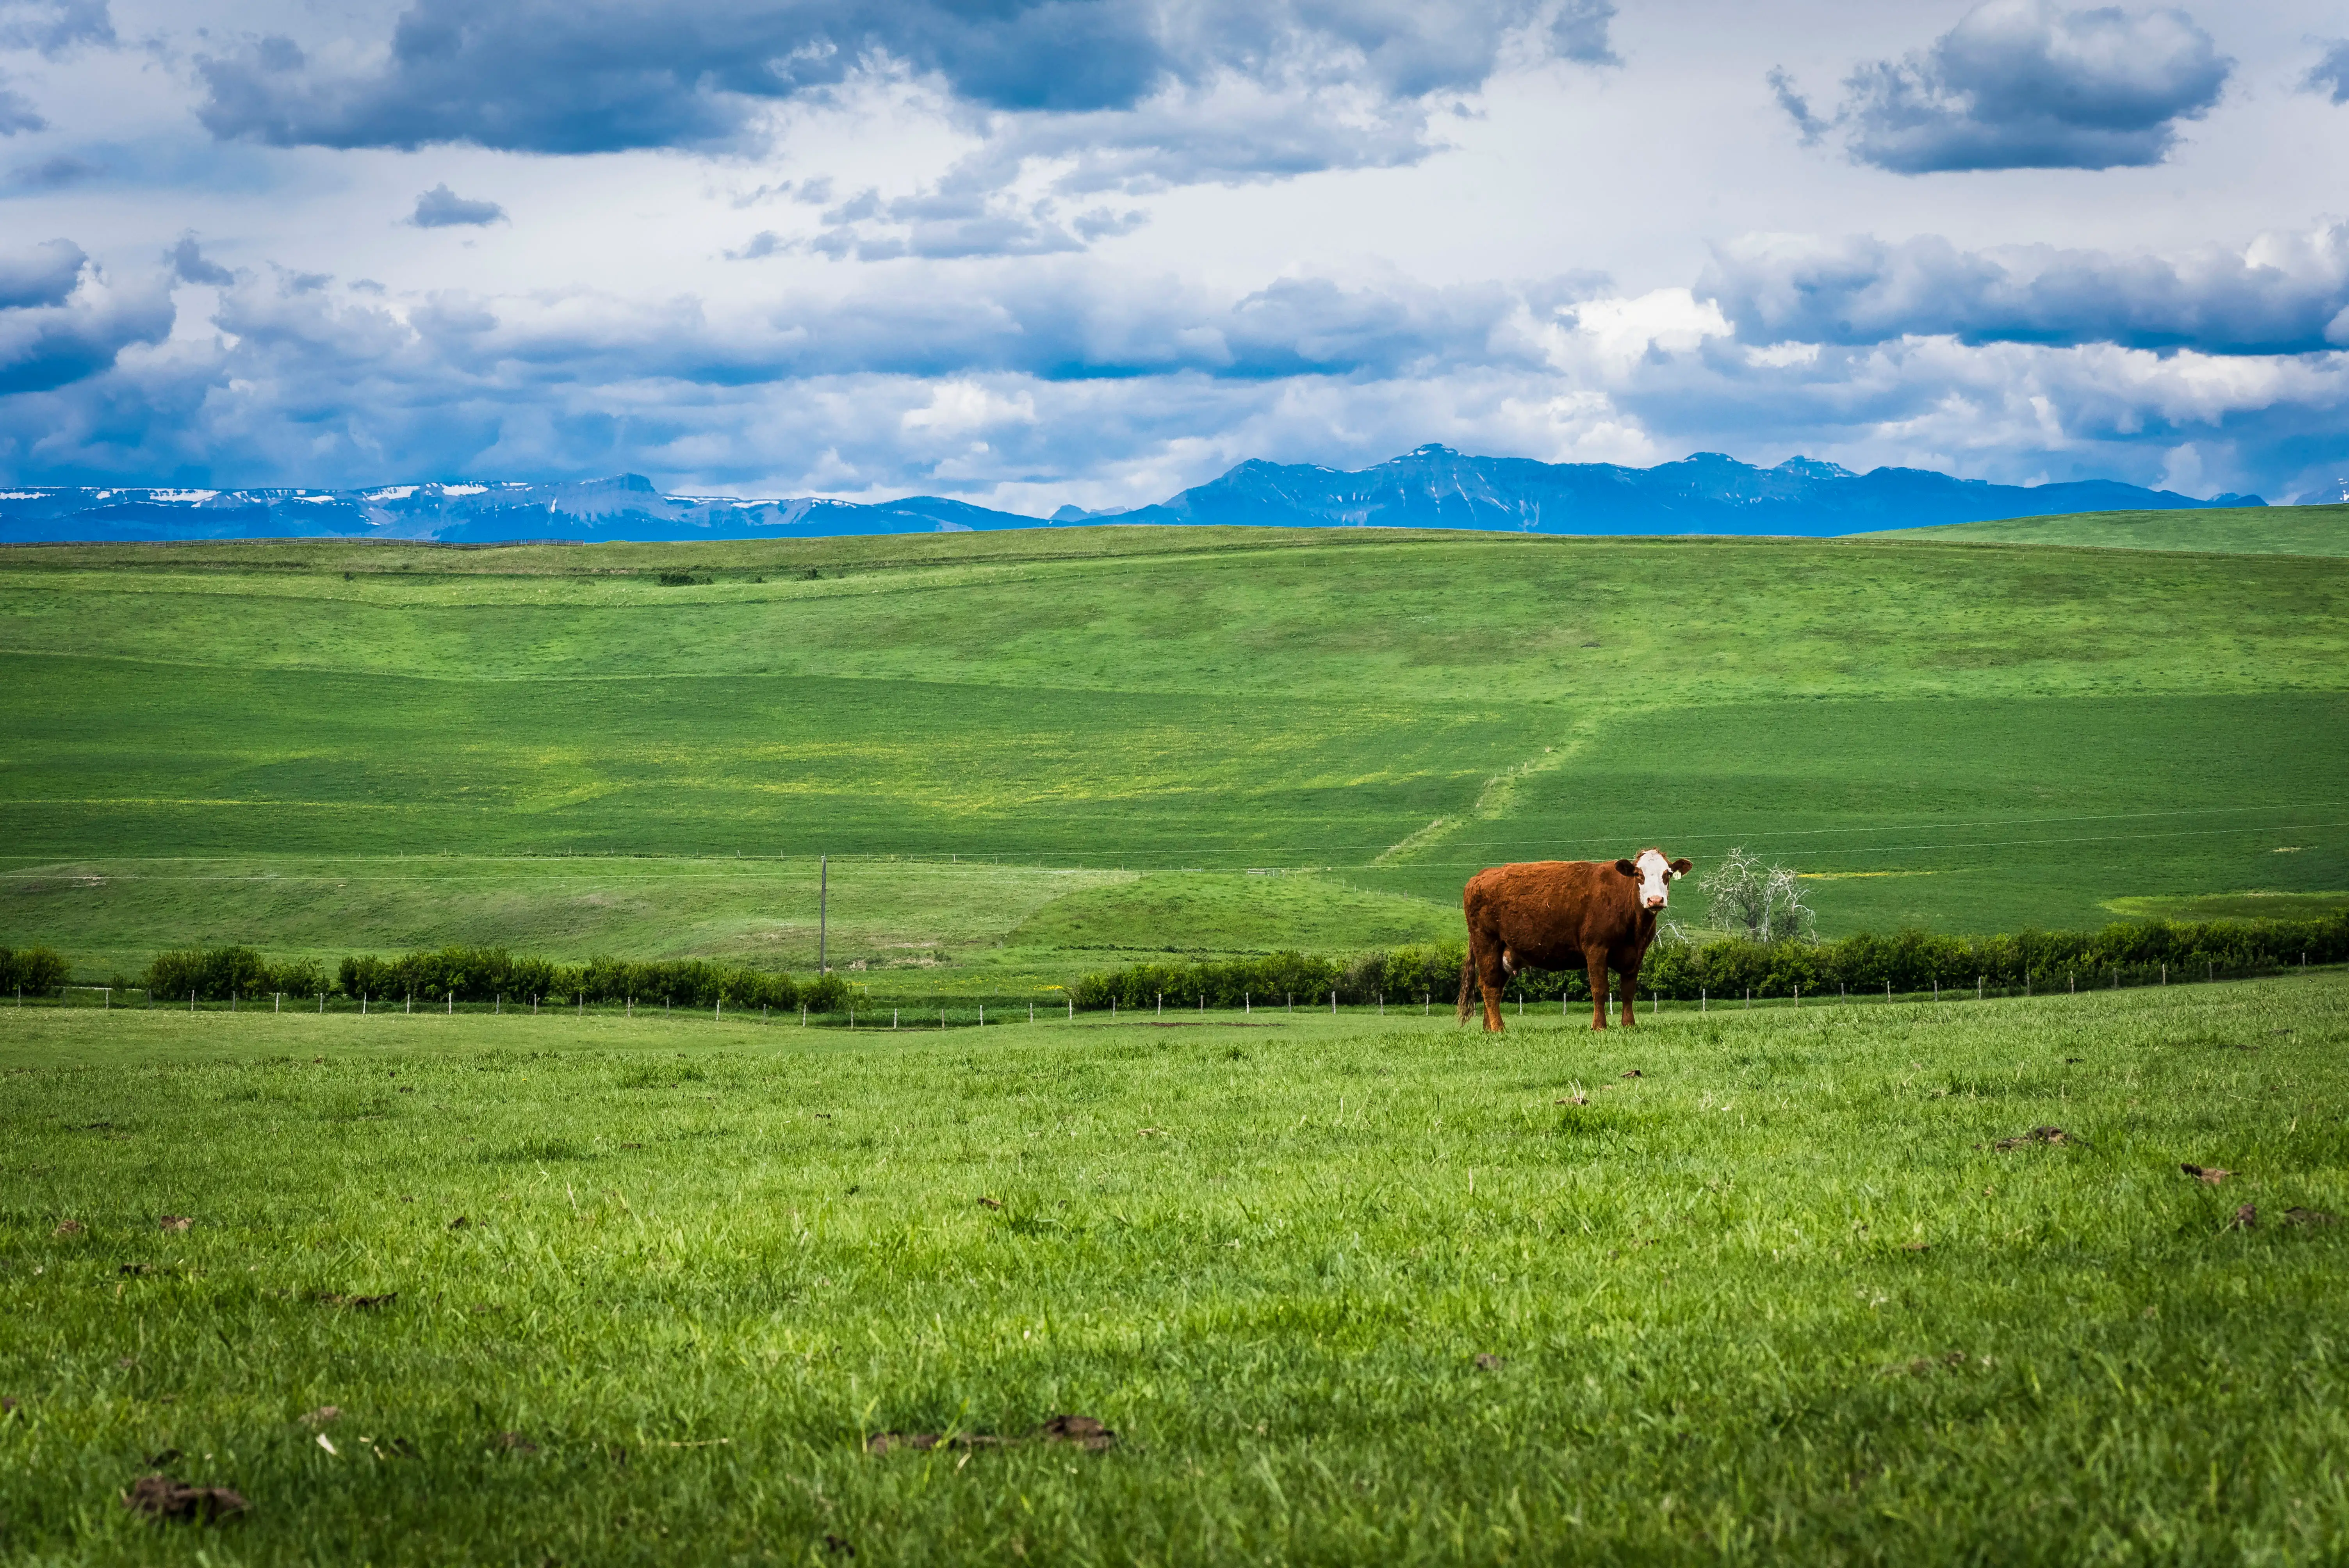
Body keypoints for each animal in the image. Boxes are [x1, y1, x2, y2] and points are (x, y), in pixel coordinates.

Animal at [1456, 849, 1692, 1032]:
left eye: (1667, 874)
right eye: (1638, 874)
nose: (1656, 900)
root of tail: (1481, 876)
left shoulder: (1636, 954)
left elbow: (1628, 992)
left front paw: (1629, 1025)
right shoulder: (1596, 948)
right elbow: (1600, 989)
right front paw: (1599, 1027)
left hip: (1504, 952)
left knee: (1492, 986)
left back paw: (1488, 1028)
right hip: (1487, 943)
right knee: (1490, 987)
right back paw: (1498, 1028)